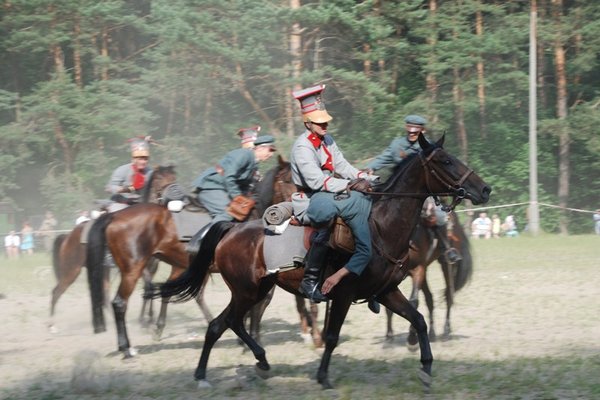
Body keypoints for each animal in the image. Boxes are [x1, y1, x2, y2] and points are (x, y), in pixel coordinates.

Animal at [49, 166, 177, 332]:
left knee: (104, 294)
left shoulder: (152, 266)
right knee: (56, 292)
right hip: (71, 271)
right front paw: (146, 320)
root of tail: (68, 236)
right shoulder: (139, 268)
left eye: (174, 177)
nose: (173, 196)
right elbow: (149, 287)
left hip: (102, 270)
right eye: (159, 178)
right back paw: (52, 326)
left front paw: (147, 319)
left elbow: (148, 289)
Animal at [384, 211, 474, 346]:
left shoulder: (418, 269)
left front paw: (412, 339)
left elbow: (413, 302)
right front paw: (389, 336)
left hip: (445, 266)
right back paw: (431, 333)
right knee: (429, 298)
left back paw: (446, 331)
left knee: (448, 296)